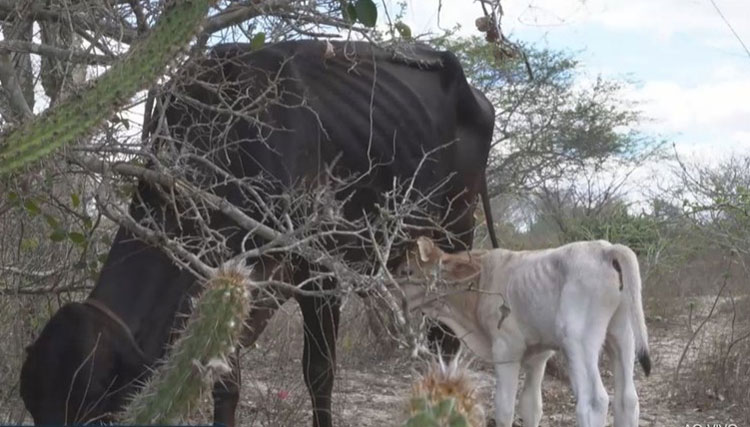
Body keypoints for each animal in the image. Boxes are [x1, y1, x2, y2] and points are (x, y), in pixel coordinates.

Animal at [19, 40, 500, 427]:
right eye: (35, 407)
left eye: (89, 408)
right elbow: (225, 381)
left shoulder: (316, 272)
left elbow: (319, 374)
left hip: (456, 233)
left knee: (445, 341)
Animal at [400, 237, 652, 427]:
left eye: (408, 271)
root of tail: (606, 249)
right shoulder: (538, 355)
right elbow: (531, 406)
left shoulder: (506, 349)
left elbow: (504, 408)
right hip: (622, 335)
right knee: (628, 399)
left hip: (579, 341)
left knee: (593, 401)